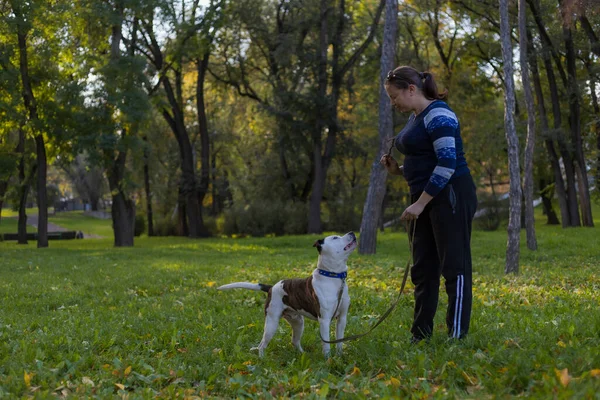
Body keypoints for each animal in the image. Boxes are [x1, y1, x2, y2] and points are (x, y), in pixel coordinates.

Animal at [218, 231, 356, 356]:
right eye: (335, 238)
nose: (352, 232)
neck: (333, 276)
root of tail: (271, 288)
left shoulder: (342, 318)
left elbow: (339, 341)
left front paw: (339, 356)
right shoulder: (324, 320)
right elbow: (326, 345)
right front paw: (328, 360)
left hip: (298, 322)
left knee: (294, 341)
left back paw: (303, 355)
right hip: (272, 323)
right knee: (262, 345)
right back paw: (262, 359)